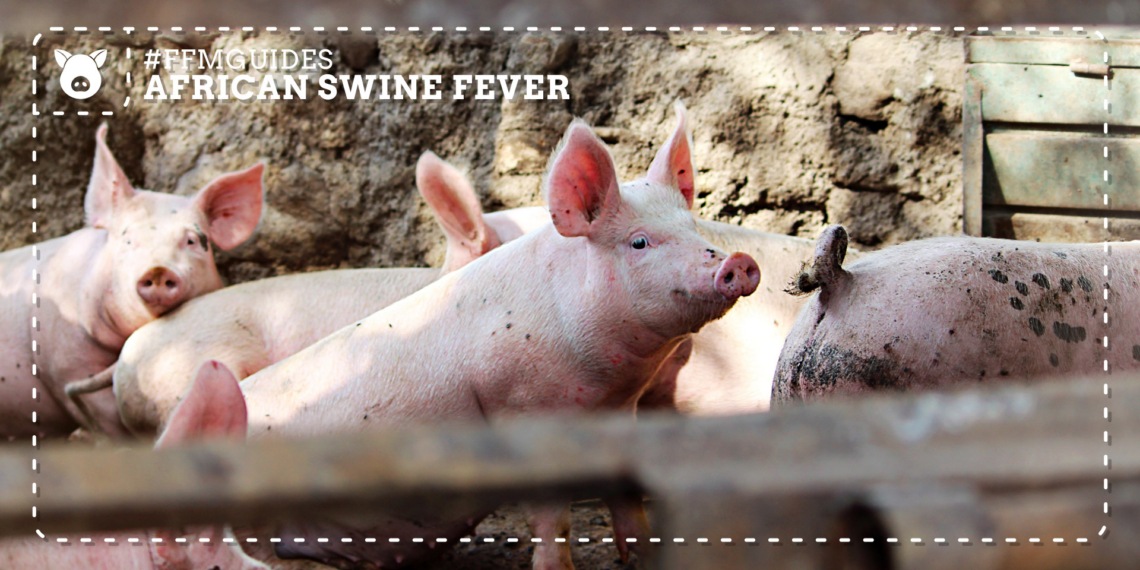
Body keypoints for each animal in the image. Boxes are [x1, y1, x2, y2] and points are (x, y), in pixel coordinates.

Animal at [234, 103, 759, 570]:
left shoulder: (619, 412)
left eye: (693, 228)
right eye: (639, 242)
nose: (737, 262)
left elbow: (629, 501)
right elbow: (552, 522)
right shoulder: (521, 407)